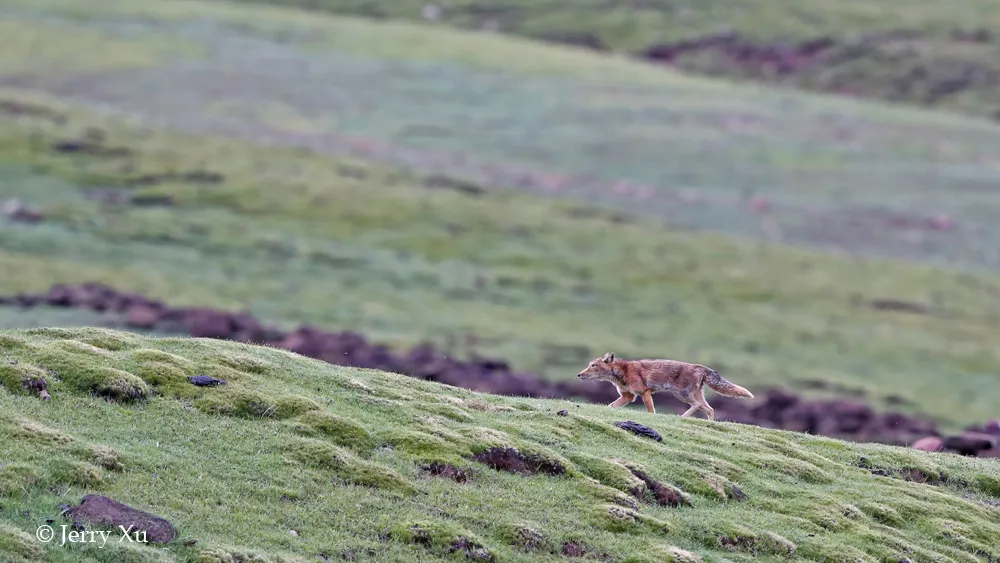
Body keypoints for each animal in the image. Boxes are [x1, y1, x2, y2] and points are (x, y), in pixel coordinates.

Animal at [576, 352, 752, 418]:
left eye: (593, 366)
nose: (579, 375)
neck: (622, 371)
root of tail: (699, 366)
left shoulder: (645, 393)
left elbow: (651, 411)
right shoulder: (628, 396)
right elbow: (610, 406)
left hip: (682, 395)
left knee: (697, 406)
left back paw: (682, 418)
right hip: (691, 396)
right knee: (710, 409)